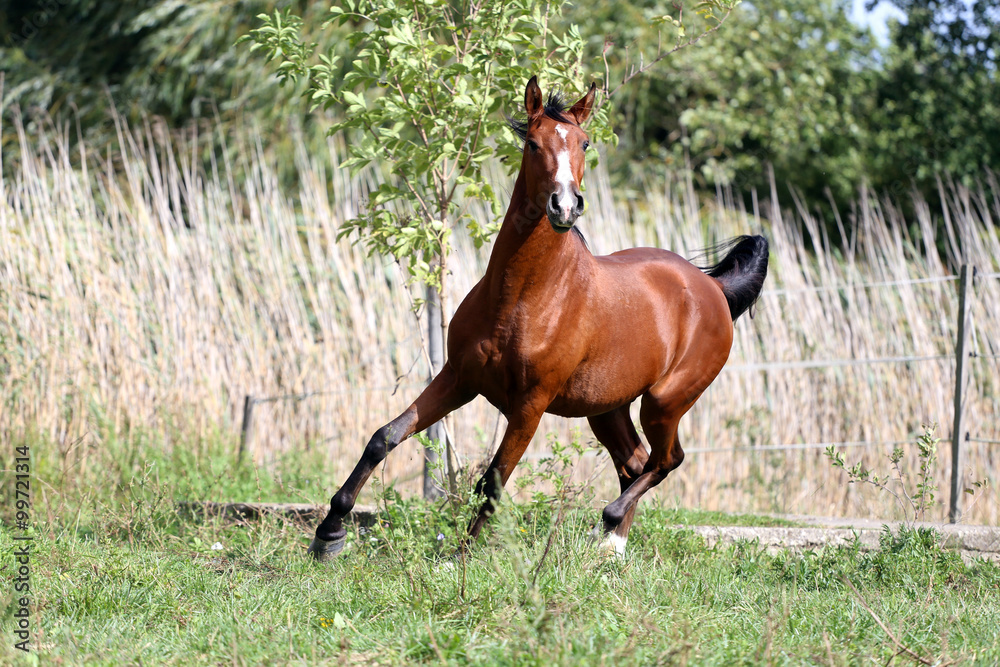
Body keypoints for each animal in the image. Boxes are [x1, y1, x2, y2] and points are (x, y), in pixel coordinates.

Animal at [308, 76, 768, 560]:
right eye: (532, 143)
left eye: (585, 143)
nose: (564, 206)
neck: (522, 299)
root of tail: (712, 289)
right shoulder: (459, 378)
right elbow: (386, 436)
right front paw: (329, 534)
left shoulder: (531, 404)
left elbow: (493, 481)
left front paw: (458, 561)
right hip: (607, 410)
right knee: (635, 463)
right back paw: (611, 548)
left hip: (664, 402)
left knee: (667, 460)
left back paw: (608, 524)